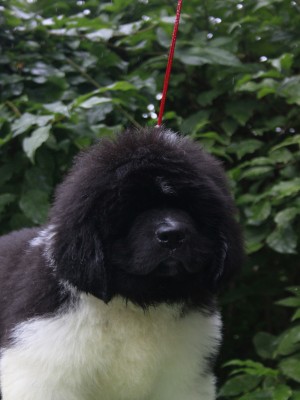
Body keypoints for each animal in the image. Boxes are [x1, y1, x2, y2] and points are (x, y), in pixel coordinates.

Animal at [0, 128, 244, 400]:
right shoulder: (44, 370)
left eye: (190, 208)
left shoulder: (184, 379)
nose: (172, 234)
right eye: (131, 210)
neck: (135, 304)